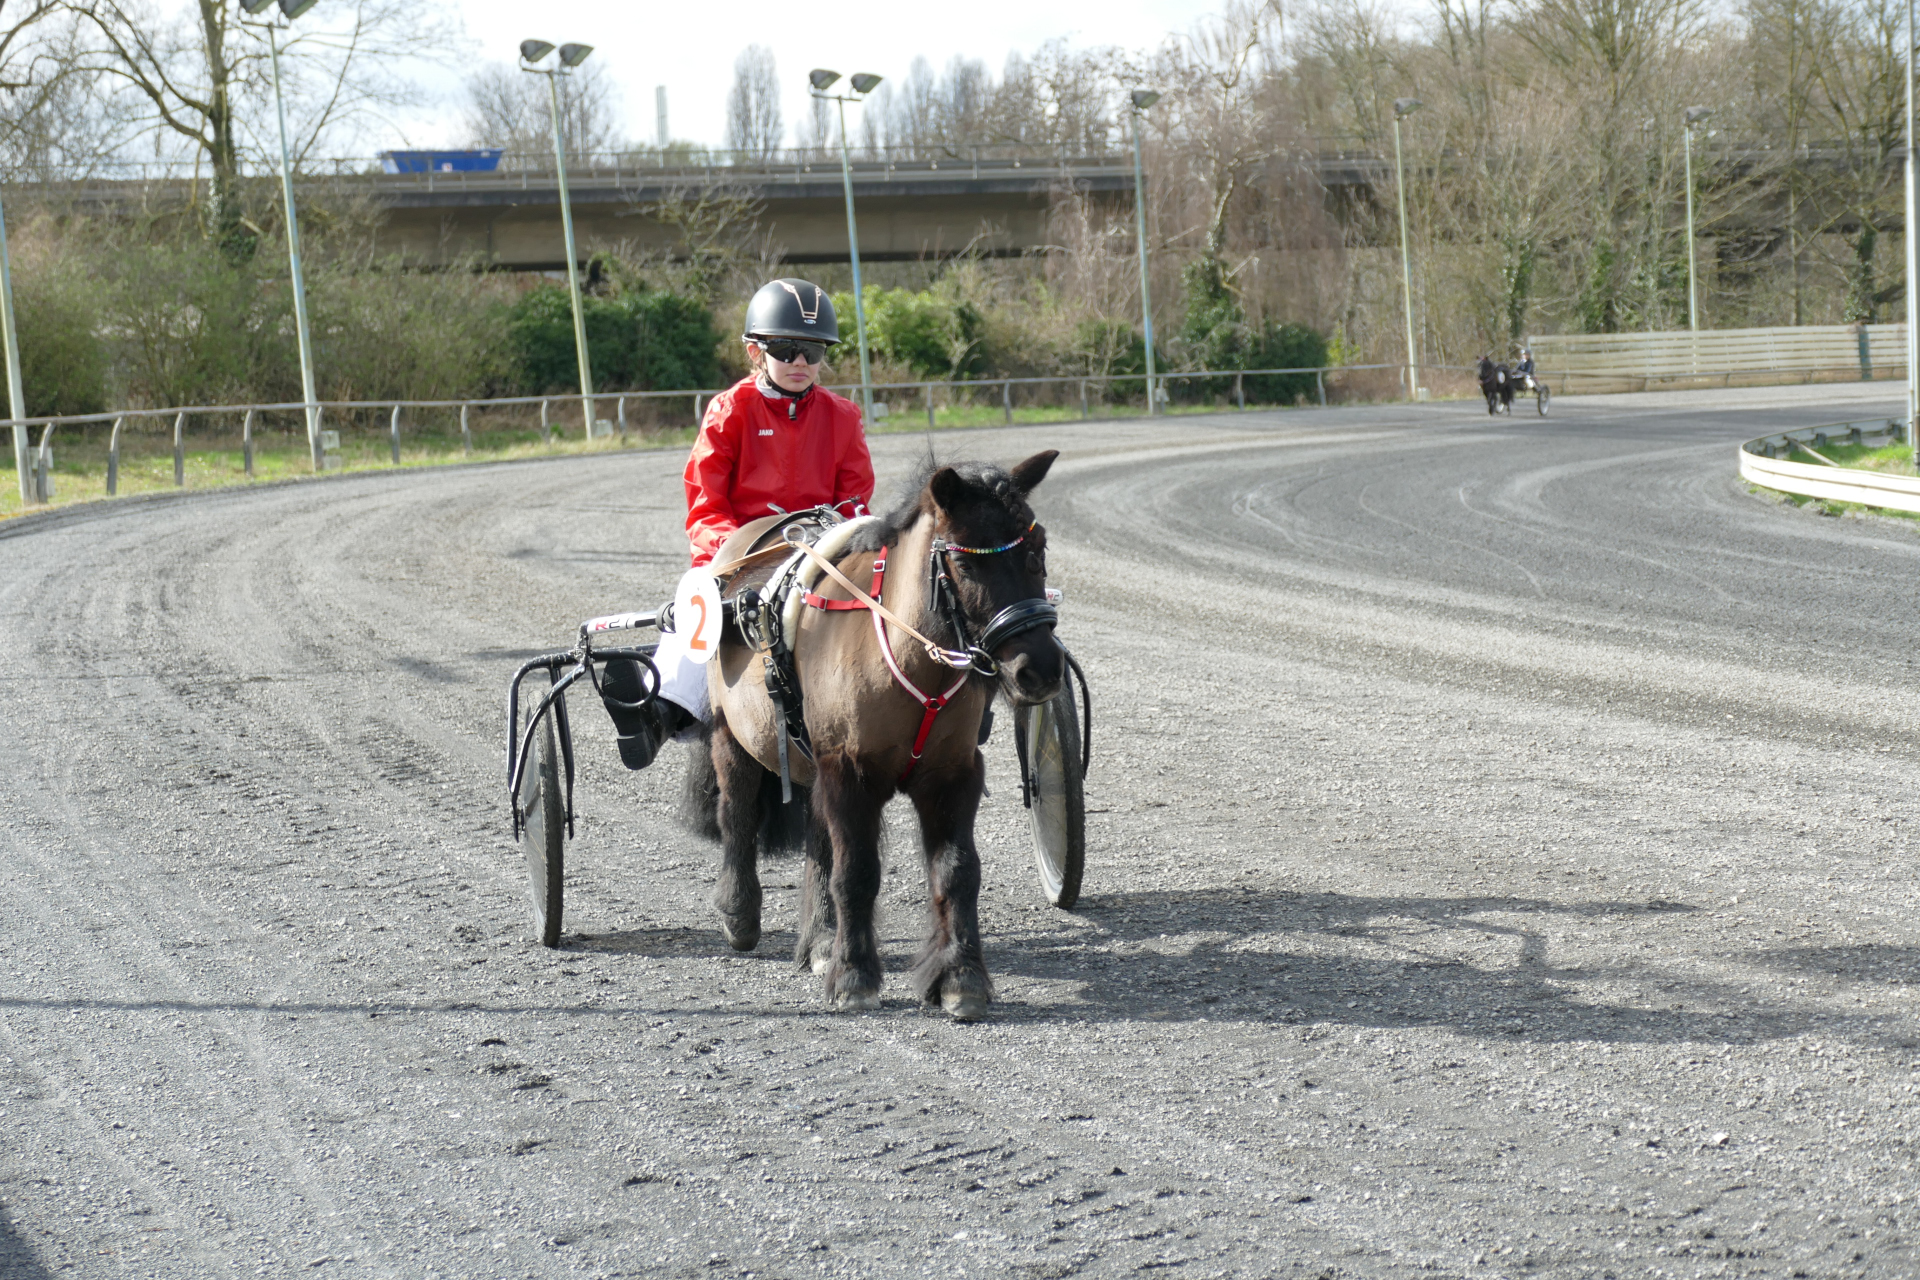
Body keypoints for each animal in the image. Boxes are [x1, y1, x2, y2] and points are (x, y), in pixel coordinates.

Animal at [681, 451, 1066, 1020]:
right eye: (967, 565)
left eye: (1037, 551)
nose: (1038, 668)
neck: (908, 658)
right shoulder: (850, 773)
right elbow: (856, 871)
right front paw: (854, 975)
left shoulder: (952, 775)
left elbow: (956, 871)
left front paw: (960, 977)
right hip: (735, 736)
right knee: (739, 814)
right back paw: (739, 912)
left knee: (818, 837)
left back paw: (820, 938)